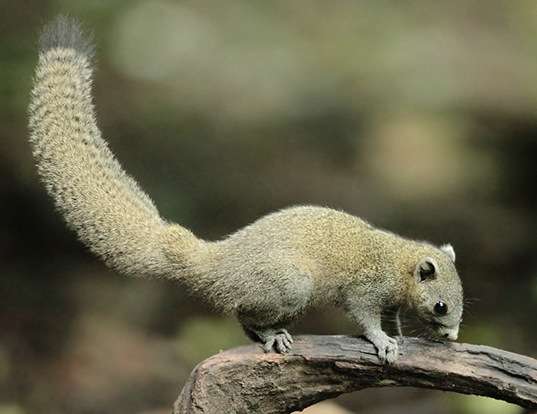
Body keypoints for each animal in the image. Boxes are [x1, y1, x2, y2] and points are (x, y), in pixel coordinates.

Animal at [28, 17, 460, 364]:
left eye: (460, 298)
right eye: (441, 306)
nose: (453, 336)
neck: (398, 260)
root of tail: (216, 264)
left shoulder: (390, 299)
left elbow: (390, 315)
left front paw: (397, 335)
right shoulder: (365, 290)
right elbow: (366, 318)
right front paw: (383, 342)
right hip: (291, 287)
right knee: (243, 313)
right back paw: (273, 335)